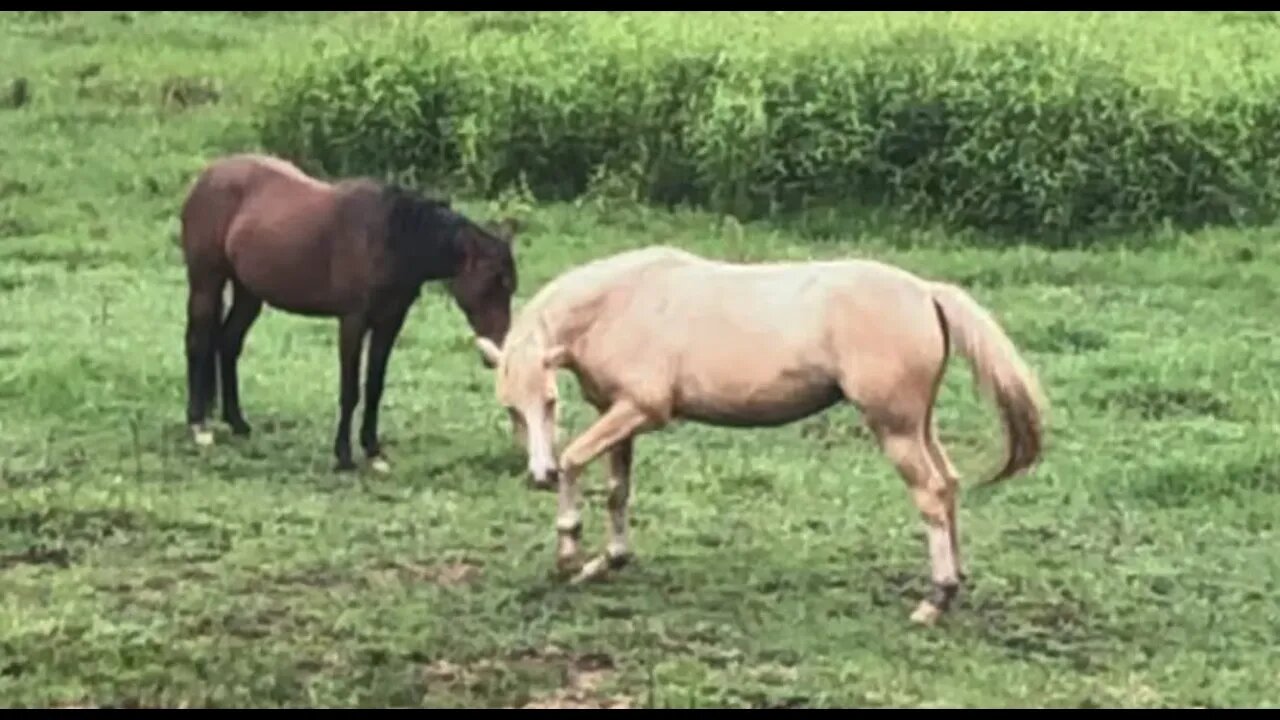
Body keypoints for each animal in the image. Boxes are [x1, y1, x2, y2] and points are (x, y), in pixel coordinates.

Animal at [181, 151, 519, 471]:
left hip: (248, 293)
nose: (497, 356)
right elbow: (350, 390)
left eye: (510, 286)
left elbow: (374, 387)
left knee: (228, 344)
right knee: (199, 343)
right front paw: (343, 456)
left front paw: (373, 451)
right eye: (492, 285)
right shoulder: (353, 322)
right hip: (206, 282)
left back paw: (237, 422)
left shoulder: (389, 323)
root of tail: (207, 176)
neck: (390, 239)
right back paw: (198, 425)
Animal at [476, 244, 1044, 622]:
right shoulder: (620, 415)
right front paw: (608, 560)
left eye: (550, 401)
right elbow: (618, 489)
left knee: (929, 493)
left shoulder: (641, 410)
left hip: (895, 429)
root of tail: (926, 292)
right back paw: (955, 584)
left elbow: (576, 458)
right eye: (512, 410)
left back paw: (935, 599)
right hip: (918, 425)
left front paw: (569, 553)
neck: (620, 303)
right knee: (948, 486)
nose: (539, 474)